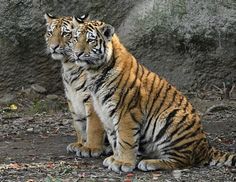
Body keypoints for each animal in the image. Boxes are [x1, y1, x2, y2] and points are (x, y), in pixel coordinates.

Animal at [44, 13, 110, 157]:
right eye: (50, 33)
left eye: (65, 33)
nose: (53, 47)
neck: (69, 66)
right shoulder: (72, 99)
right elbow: (79, 125)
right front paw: (80, 144)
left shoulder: (91, 99)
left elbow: (93, 126)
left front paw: (91, 148)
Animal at [70, 16, 236, 172]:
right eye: (76, 38)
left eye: (90, 40)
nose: (77, 53)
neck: (94, 72)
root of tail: (206, 147)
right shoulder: (105, 112)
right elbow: (114, 140)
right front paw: (115, 158)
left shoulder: (126, 112)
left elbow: (125, 140)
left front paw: (123, 163)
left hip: (172, 118)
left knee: (182, 161)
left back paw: (148, 163)